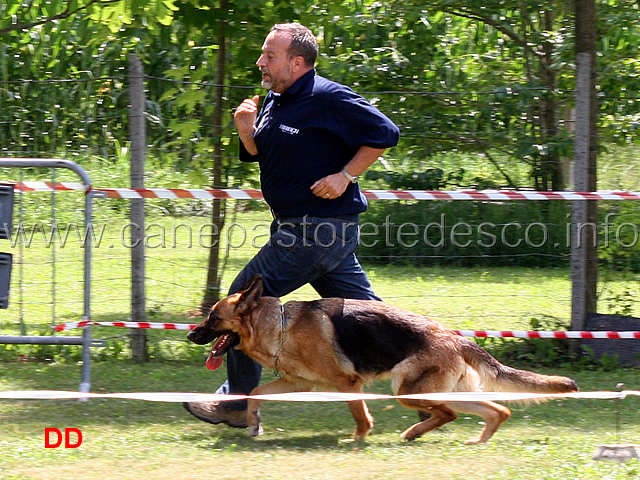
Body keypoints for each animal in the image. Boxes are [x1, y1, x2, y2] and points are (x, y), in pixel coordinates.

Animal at [188, 274, 576, 442]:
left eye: (213, 318)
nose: (191, 335)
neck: (281, 325)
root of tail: (453, 336)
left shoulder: (348, 384)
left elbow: (360, 413)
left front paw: (358, 438)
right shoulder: (296, 383)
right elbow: (255, 393)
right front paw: (253, 423)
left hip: (407, 389)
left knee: (448, 413)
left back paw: (414, 432)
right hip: (446, 392)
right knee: (497, 410)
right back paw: (472, 439)